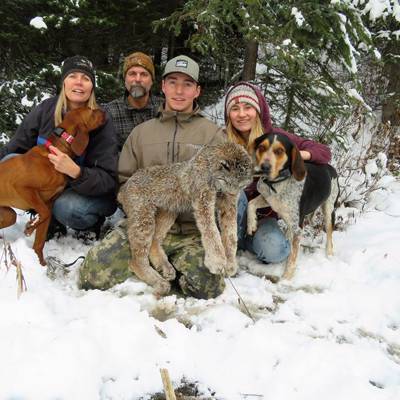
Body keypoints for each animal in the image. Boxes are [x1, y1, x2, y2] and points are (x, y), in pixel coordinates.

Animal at [0, 107, 105, 265]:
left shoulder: (49, 203)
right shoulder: (22, 187)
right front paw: (30, 227)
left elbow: (40, 241)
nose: (105, 111)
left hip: (8, 216)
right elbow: (43, 214)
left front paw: (41, 265)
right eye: (91, 111)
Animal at [118, 142, 253, 296]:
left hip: (169, 210)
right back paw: (160, 283)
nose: (234, 194)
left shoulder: (227, 206)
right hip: (143, 217)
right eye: (233, 183)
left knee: (154, 241)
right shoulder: (202, 200)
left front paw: (230, 264)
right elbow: (211, 231)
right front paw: (217, 262)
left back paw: (165, 268)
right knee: (135, 261)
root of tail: (124, 186)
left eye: (242, 186)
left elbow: (230, 234)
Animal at [247, 133, 339, 280]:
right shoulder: (268, 200)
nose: (264, 167)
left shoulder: (298, 228)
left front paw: (286, 278)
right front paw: (251, 224)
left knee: (330, 235)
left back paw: (329, 255)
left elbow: (293, 256)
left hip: (328, 210)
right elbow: (251, 204)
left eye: (279, 151)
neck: (278, 182)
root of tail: (332, 168)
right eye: (261, 147)